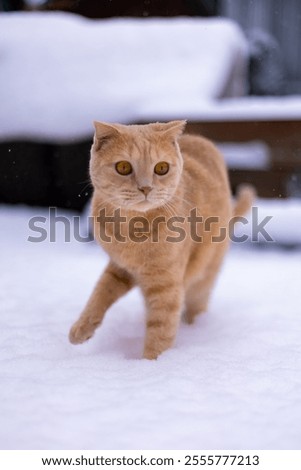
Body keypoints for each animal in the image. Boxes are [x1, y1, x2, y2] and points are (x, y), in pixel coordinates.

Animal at [68, 121, 253, 360]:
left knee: (196, 302)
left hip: (204, 275)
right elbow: (100, 293)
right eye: (123, 167)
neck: (132, 230)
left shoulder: (167, 285)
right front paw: (81, 329)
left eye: (162, 168)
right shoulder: (120, 268)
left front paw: (152, 364)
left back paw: (195, 328)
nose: (145, 187)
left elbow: (161, 328)